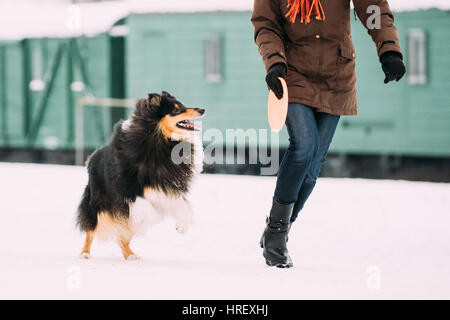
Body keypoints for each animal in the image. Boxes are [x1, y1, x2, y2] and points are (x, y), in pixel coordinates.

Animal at [77, 90, 204, 260]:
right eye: (176, 110)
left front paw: (182, 225)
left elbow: (183, 204)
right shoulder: (128, 190)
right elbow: (145, 208)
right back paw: (85, 253)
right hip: (99, 203)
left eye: (182, 105)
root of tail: (91, 158)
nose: (202, 110)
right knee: (92, 229)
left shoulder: (168, 185)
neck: (160, 141)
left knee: (122, 236)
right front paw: (148, 218)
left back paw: (130, 255)